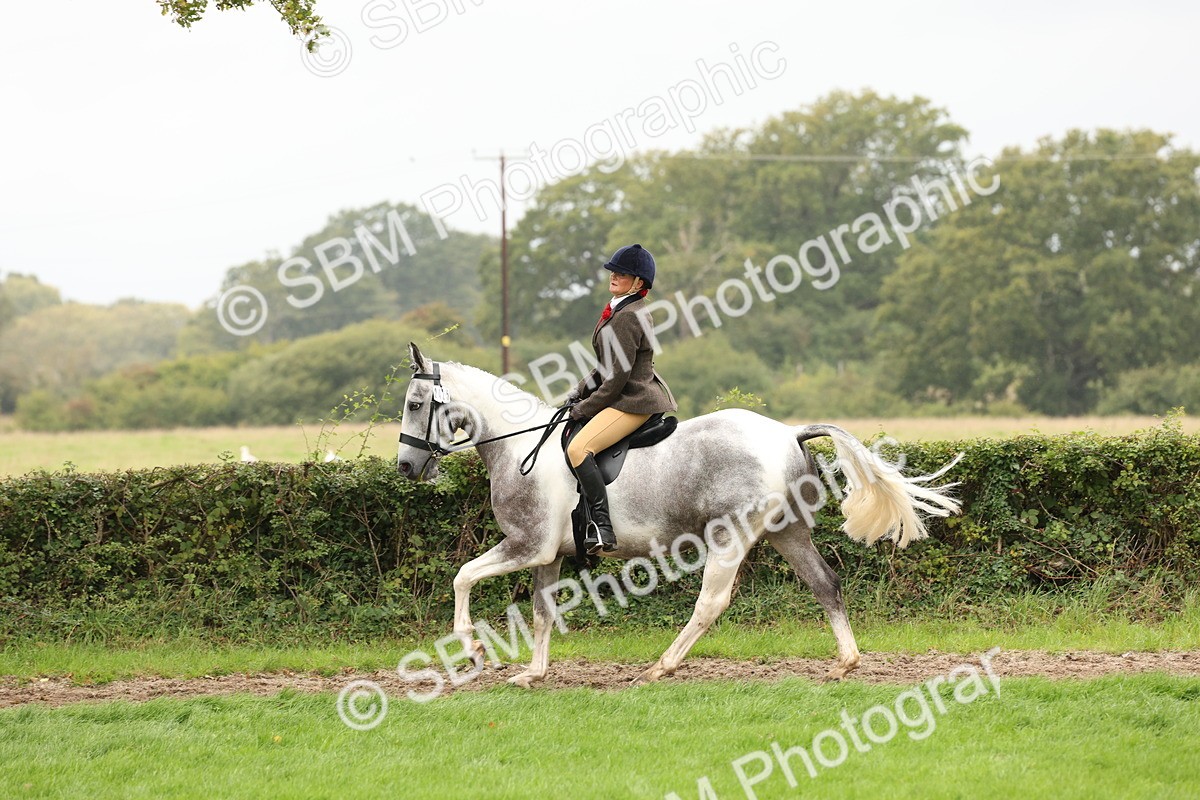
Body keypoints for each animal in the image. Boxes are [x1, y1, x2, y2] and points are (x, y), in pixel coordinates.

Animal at [396, 342, 961, 686]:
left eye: (416, 403)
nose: (405, 466)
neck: (517, 448)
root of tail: (787, 432)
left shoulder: (526, 545)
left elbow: (463, 576)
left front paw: (473, 650)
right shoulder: (547, 554)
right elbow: (541, 611)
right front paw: (532, 674)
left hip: (731, 536)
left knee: (711, 602)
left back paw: (660, 668)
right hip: (787, 533)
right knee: (825, 583)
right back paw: (845, 663)